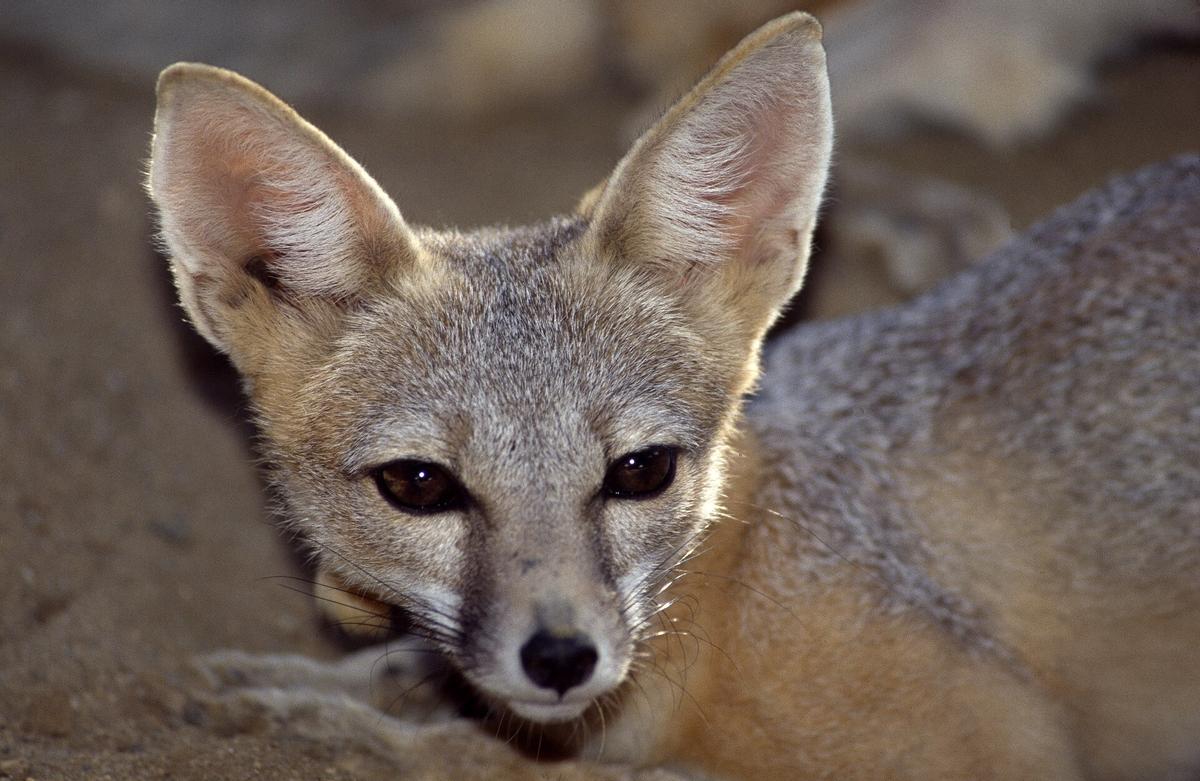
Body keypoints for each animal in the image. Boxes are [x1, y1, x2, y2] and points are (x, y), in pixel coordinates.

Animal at [147, 12, 1200, 781]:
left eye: (640, 470)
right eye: (418, 485)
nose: (561, 657)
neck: (726, 594)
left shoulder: (991, 745)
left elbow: (551, 769)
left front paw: (355, 728)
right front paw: (340, 680)